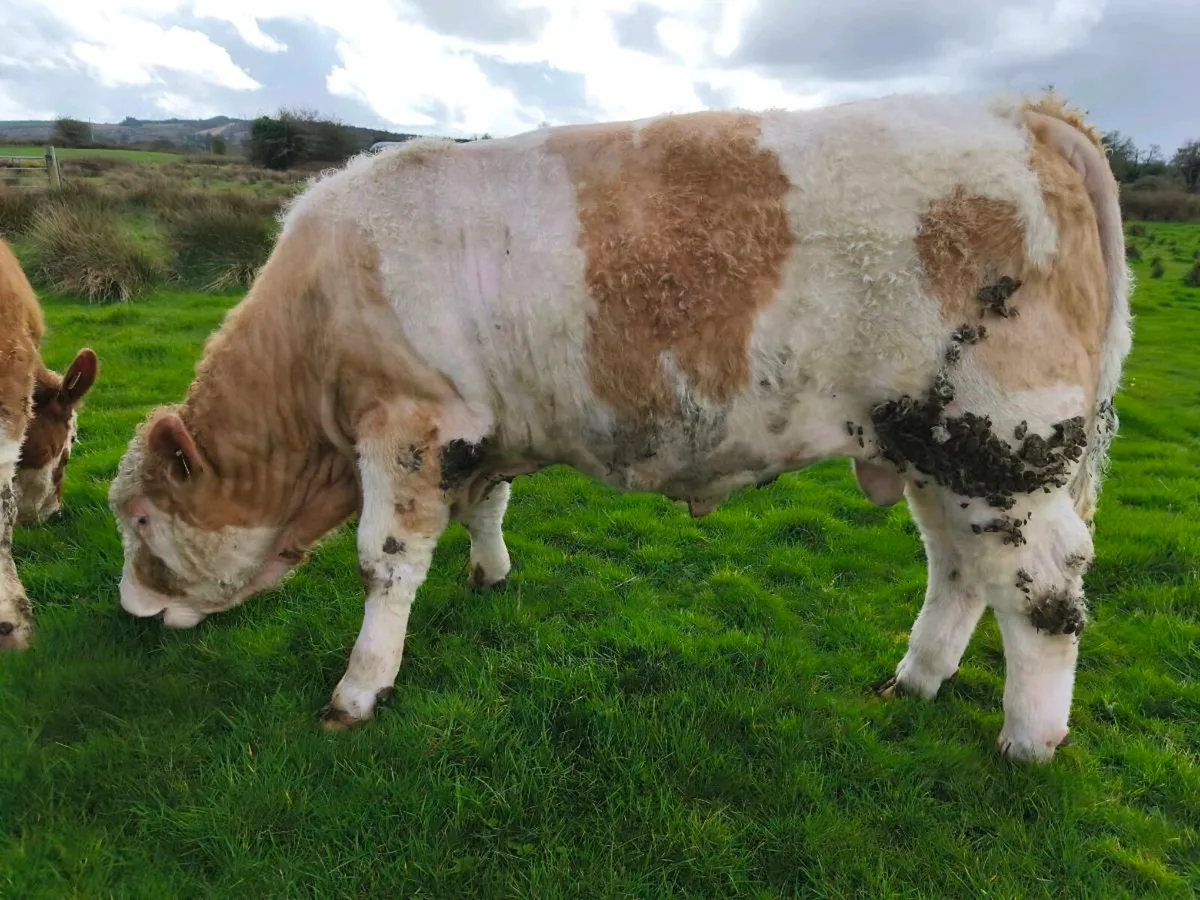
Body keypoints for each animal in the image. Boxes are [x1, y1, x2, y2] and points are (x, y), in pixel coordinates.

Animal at [107, 90, 1132, 763]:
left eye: (143, 520)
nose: (131, 612)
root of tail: (1030, 114)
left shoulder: (408, 424)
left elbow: (384, 565)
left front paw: (359, 689)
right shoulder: (482, 429)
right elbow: (489, 505)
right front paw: (490, 574)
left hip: (1001, 443)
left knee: (1043, 590)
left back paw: (1027, 741)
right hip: (930, 450)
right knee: (959, 571)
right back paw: (914, 679)